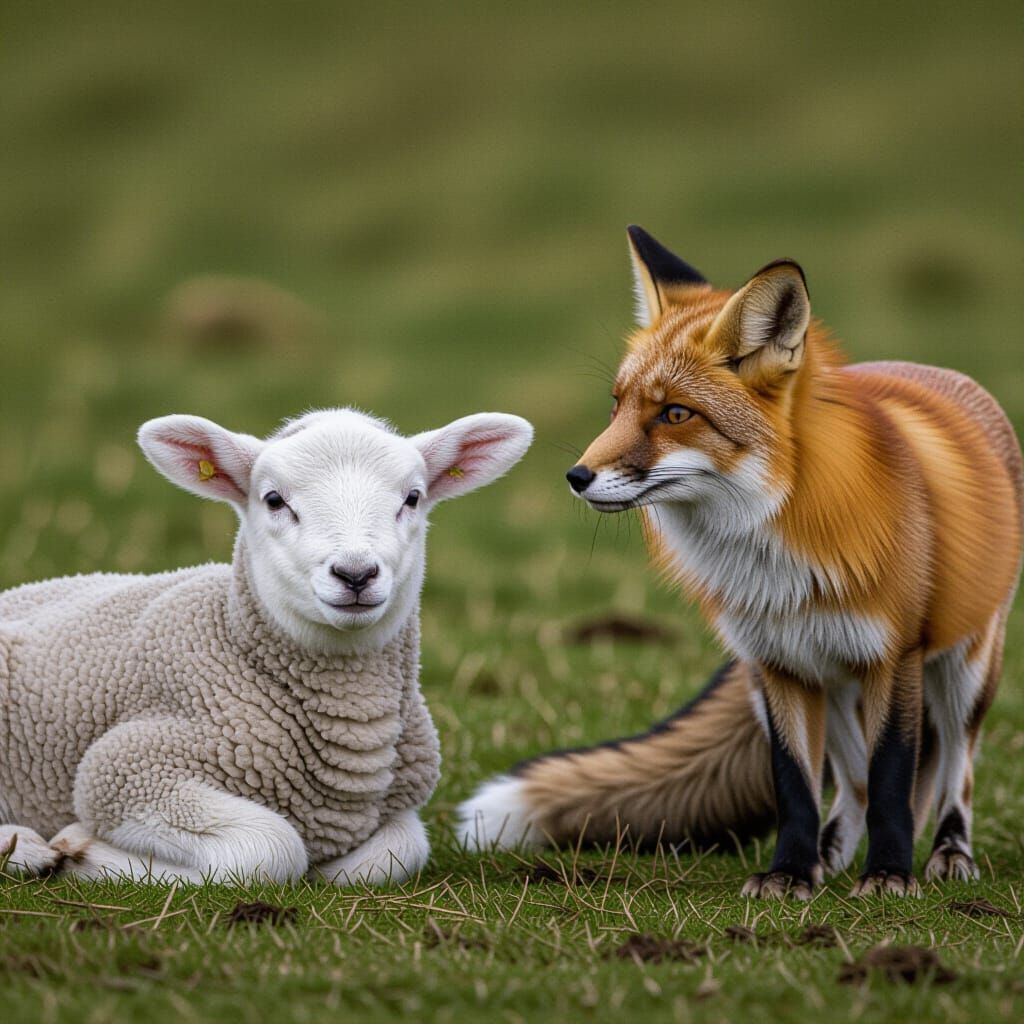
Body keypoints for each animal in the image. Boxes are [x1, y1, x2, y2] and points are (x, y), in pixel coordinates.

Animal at [0, 407, 533, 885]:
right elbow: (268, 849)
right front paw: (82, 849)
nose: (355, 574)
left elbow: (394, 856)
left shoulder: (397, 807)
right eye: (274, 500)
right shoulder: (126, 766)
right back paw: (25, 849)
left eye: (414, 497)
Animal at [458, 225, 1023, 899]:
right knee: (851, 782)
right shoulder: (774, 664)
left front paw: (889, 873)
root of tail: (937, 372)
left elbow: (892, 778)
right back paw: (830, 854)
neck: (774, 560)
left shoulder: (894, 657)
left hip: (965, 668)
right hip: (827, 681)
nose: (576, 476)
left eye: (675, 413)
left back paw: (947, 853)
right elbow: (796, 784)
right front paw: (790, 873)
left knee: (954, 770)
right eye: (616, 405)